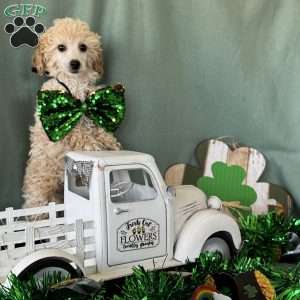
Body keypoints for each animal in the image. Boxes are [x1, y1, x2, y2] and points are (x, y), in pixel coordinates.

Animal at [22, 17, 122, 209]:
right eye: (61, 47)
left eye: (83, 47)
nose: (75, 63)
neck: (74, 84)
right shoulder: (57, 122)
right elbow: (79, 133)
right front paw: (94, 145)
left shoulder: (92, 111)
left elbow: (98, 128)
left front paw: (110, 142)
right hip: (40, 192)